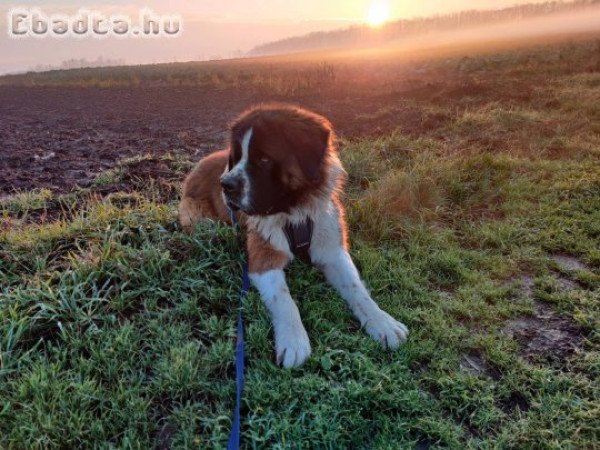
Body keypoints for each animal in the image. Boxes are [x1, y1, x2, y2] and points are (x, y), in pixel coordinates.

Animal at [178, 103, 410, 368]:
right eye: (237, 157)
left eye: (264, 159)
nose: (225, 184)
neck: (293, 211)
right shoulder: (264, 260)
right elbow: (285, 300)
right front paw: (294, 341)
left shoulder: (332, 250)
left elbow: (356, 289)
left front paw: (383, 322)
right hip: (197, 218)